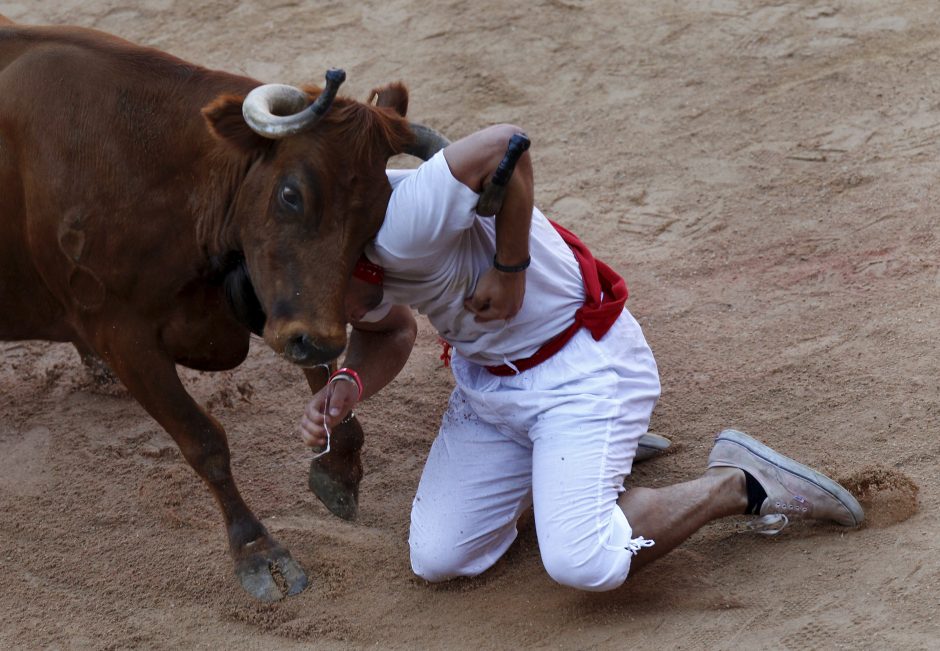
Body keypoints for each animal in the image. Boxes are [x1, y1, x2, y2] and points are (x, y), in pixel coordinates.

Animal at [0, 19, 440, 600]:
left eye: (380, 214)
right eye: (291, 194)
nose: (318, 338)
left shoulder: (281, 306)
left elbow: (326, 386)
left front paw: (338, 468)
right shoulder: (123, 335)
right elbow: (203, 440)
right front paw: (258, 550)